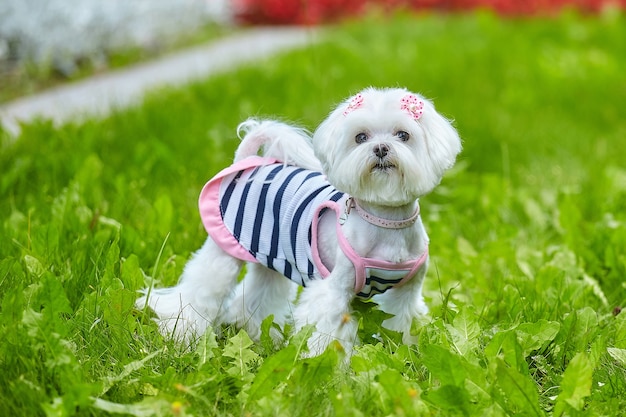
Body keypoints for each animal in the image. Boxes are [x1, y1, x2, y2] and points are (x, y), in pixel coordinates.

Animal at [135, 87, 458, 354]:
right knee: (200, 288)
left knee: (256, 297)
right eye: (360, 137)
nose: (380, 148)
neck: (385, 219)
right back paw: (180, 332)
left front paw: (405, 354)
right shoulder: (332, 291)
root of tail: (247, 163)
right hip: (223, 251)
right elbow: (325, 334)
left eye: (403, 135)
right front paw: (326, 370)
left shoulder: (407, 293)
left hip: (269, 257)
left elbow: (402, 323)